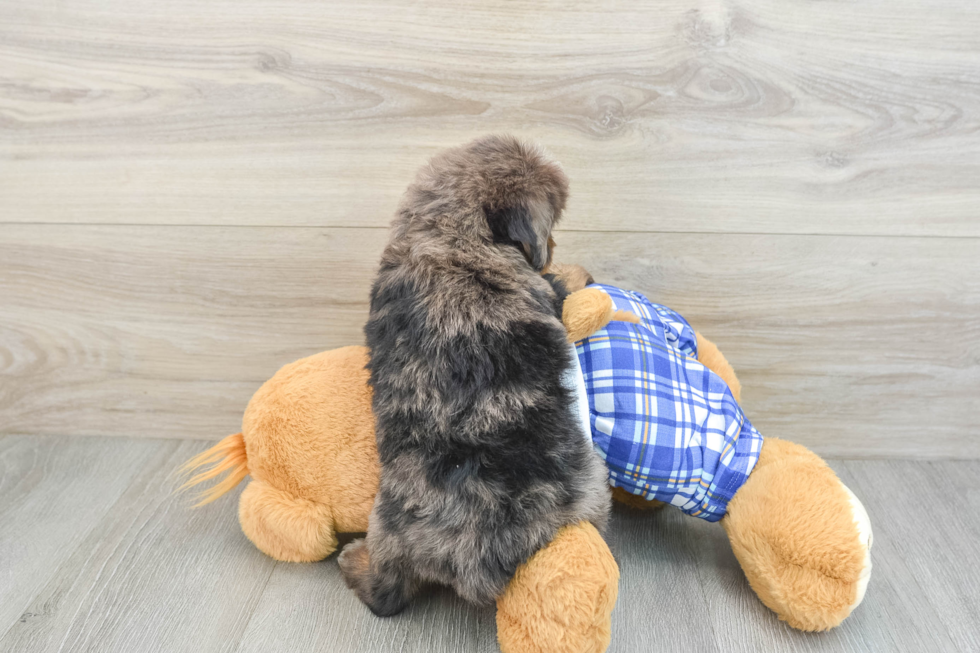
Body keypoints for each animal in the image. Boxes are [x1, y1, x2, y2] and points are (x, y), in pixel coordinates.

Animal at [340, 134, 608, 616]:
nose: (553, 245)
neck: (447, 230)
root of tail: (471, 555)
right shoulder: (543, 289)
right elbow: (561, 284)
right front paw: (578, 271)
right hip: (592, 488)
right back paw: (353, 560)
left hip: (391, 524)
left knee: (386, 593)